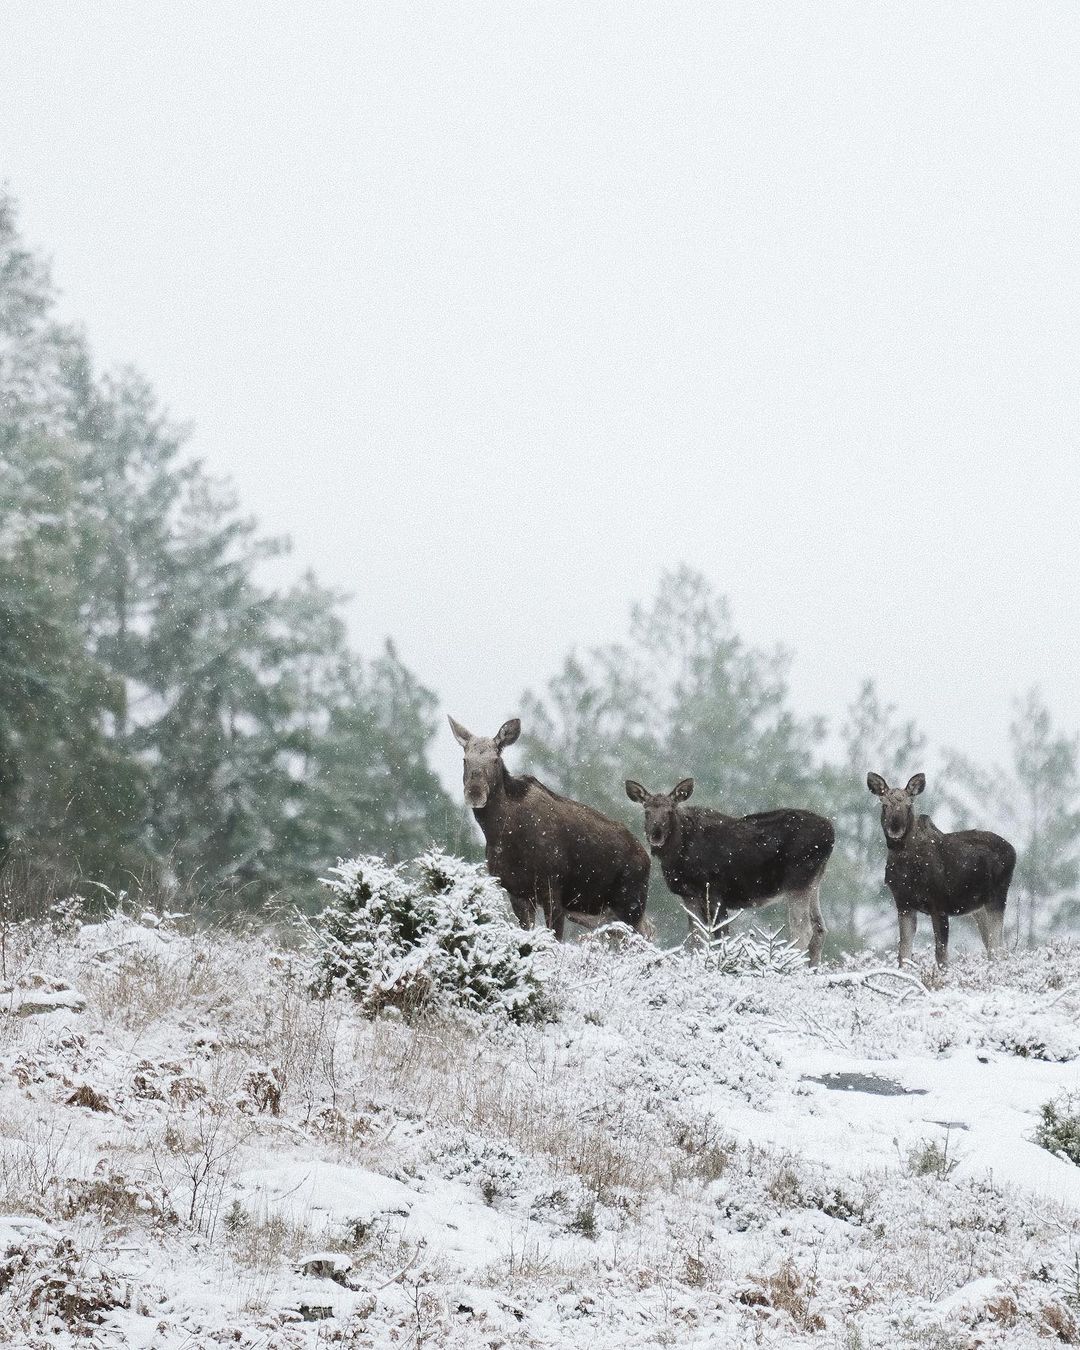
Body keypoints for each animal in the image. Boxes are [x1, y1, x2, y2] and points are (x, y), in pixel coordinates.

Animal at [448, 718, 650, 939]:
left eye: (495, 760)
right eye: (465, 760)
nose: (475, 792)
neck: (500, 833)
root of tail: (647, 858)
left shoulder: (552, 888)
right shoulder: (516, 892)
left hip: (630, 905)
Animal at [623, 777, 837, 966]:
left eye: (670, 811)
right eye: (646, 811)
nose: (656, 834)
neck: (677, 853)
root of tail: (831, 832)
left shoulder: (715, 892)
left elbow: (720, 937)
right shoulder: (688, 895)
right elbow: (695, 939)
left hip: (798, 882)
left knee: (803, 930)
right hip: (814, 883)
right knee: (820, 928)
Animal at [864, 772, 1015, 972]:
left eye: (909, 805)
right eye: (884, 804)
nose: (895, 828)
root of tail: (1014, 851)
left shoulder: (939, 904)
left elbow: (941, 956)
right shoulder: (903, 904)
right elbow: (903, 954)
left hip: (997, 897)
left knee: (998, 947)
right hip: (978, 908)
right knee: (992, 946)